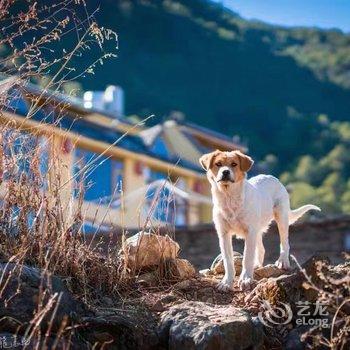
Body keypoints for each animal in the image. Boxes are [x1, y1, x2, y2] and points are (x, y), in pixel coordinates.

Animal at [200, 150, 320, 290]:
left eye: (234, 164)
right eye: (218, 164)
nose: (225, 172)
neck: (229, 197)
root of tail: (272, 177)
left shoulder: (250, 232)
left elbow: (247, 257)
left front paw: (245, 279)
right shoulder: (224, 234)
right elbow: (228, 260)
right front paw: (226, 282)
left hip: (281, 218)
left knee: (284, 242)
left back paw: (283, 261)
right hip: (257, 229)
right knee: (261, 249)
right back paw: (257, 265)